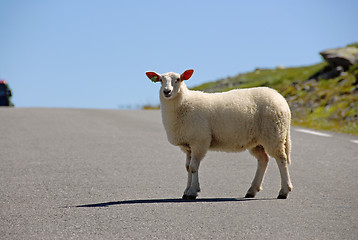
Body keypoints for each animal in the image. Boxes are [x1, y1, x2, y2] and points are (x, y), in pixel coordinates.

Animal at [145, 69, 294, 199]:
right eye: (160, 80)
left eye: (178, 79)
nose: (167, 91)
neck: (184, 103)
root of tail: (281, 99)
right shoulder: (188, 145)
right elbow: (188, 168)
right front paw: (186, 191)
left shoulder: (199, 141)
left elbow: (193, 167)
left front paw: (192, 192)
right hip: (257, 140)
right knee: (263, 159)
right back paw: (252, 190)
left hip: (274, 134)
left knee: (281, 159)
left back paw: (284, 191)